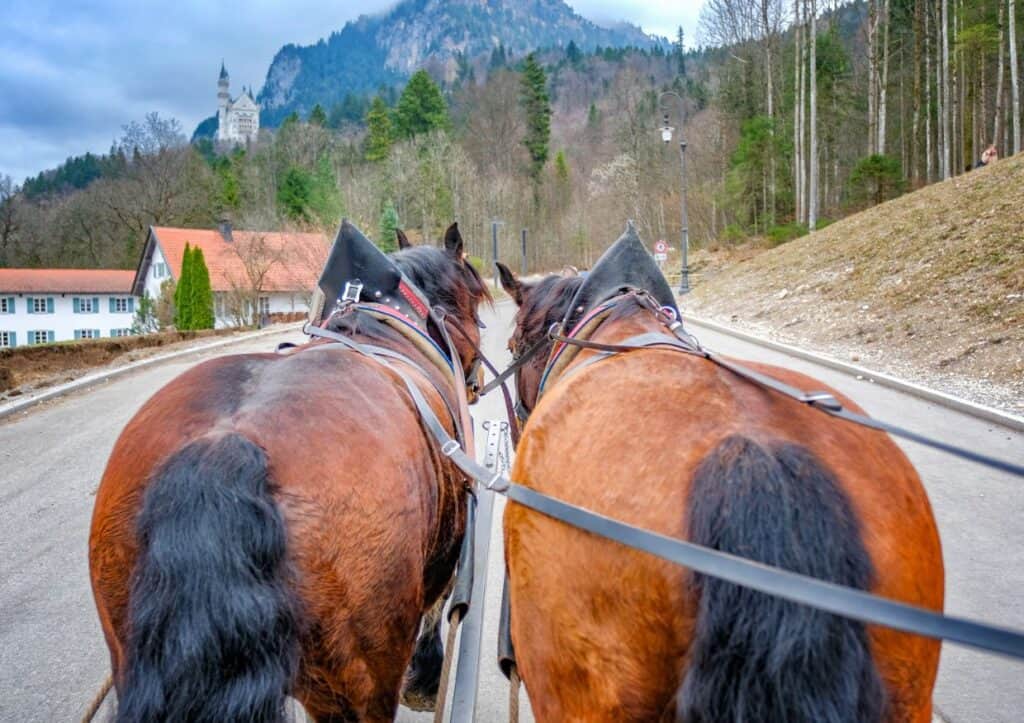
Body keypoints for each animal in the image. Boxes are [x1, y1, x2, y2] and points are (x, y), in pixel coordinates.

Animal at [88, 222, 487, 716]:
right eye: (476, 299)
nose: (474, 382)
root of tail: (223, 448)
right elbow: (436, 607)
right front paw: (428, 676)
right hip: (356, 682)